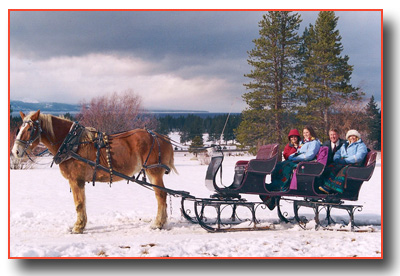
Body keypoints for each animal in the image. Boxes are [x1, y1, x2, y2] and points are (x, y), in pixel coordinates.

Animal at [11, 110, 177, 233]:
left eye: (30, 129)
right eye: (19, 129)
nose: (15, 152)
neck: (71, 143)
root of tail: (162, 137)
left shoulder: (75, 180)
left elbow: (78, 203)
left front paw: (77, 227)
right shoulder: (79, 181)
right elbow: (82, 203)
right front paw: (81, 224)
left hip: (154, 172)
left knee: (161, 195)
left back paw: (157, 223)